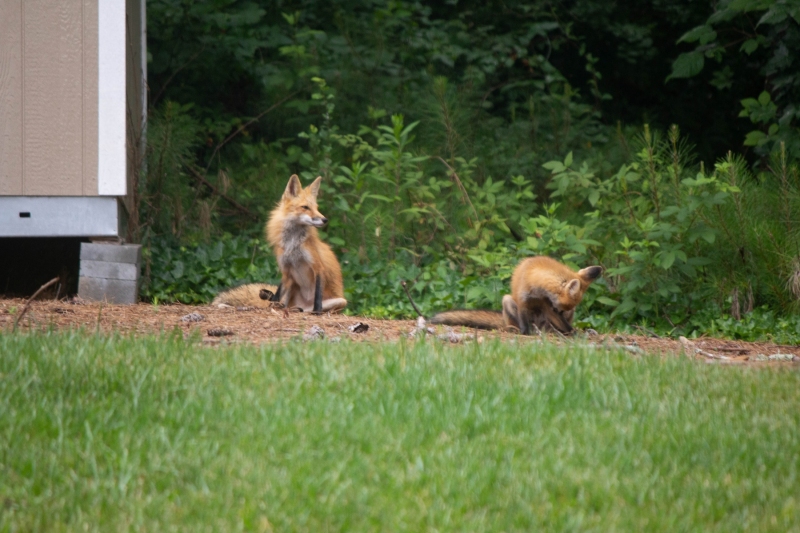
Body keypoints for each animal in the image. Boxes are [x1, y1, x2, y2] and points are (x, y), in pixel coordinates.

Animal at [213, 174, 347, 313]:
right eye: (305, 207)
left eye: (316, 208)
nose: (325, 220)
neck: (293, 246)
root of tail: (302, 305)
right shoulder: (286, 270)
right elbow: (277, 294)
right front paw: (271, 303)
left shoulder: (318, 267)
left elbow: (318, 296)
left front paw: (318, 311)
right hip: (290, 289)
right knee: (281, 303)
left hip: (341, 301)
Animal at [430, 256, 602, 335]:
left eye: (561, 309)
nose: (560, 313)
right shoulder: (523, 301)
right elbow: (524, 322)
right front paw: (526, 334)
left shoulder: (547, 305)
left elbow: (565, 325)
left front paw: (573, 333)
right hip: (507, 301)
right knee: (515, 324)